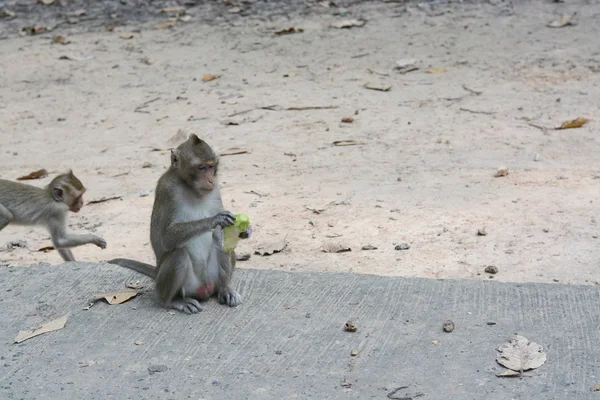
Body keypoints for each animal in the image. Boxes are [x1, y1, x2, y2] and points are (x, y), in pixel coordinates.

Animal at [108, 136, 251, 314]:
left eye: (211, 166)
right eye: (201, 167)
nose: (211, 180)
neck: (191, 188)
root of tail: (204, 290)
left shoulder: (215, 190)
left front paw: (246, 231)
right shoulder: (168, 190)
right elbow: (167, 238)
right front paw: (216, 219)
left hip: (211, 279)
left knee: (220, 241)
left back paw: (225, 289)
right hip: (184, 286)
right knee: (178, 254)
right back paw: (171, 301)